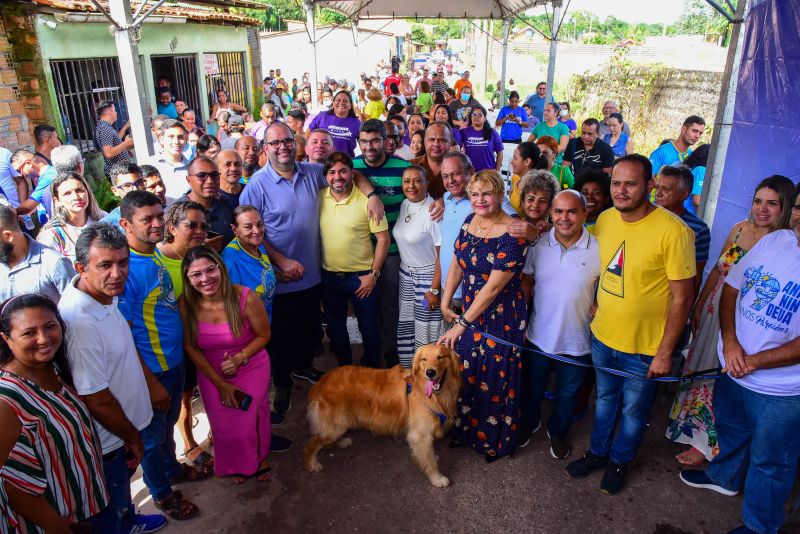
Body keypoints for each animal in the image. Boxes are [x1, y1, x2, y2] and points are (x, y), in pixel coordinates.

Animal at [304, 344, 460, 490]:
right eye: (424, 359)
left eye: (440, 357)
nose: (430, 372)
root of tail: (320, 383)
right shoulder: (419, 436)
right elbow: (430, 462)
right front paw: (437, 478)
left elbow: (429, 454)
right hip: (333, 429)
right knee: (312, 443)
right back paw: (311, 464)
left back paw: (342, 441)